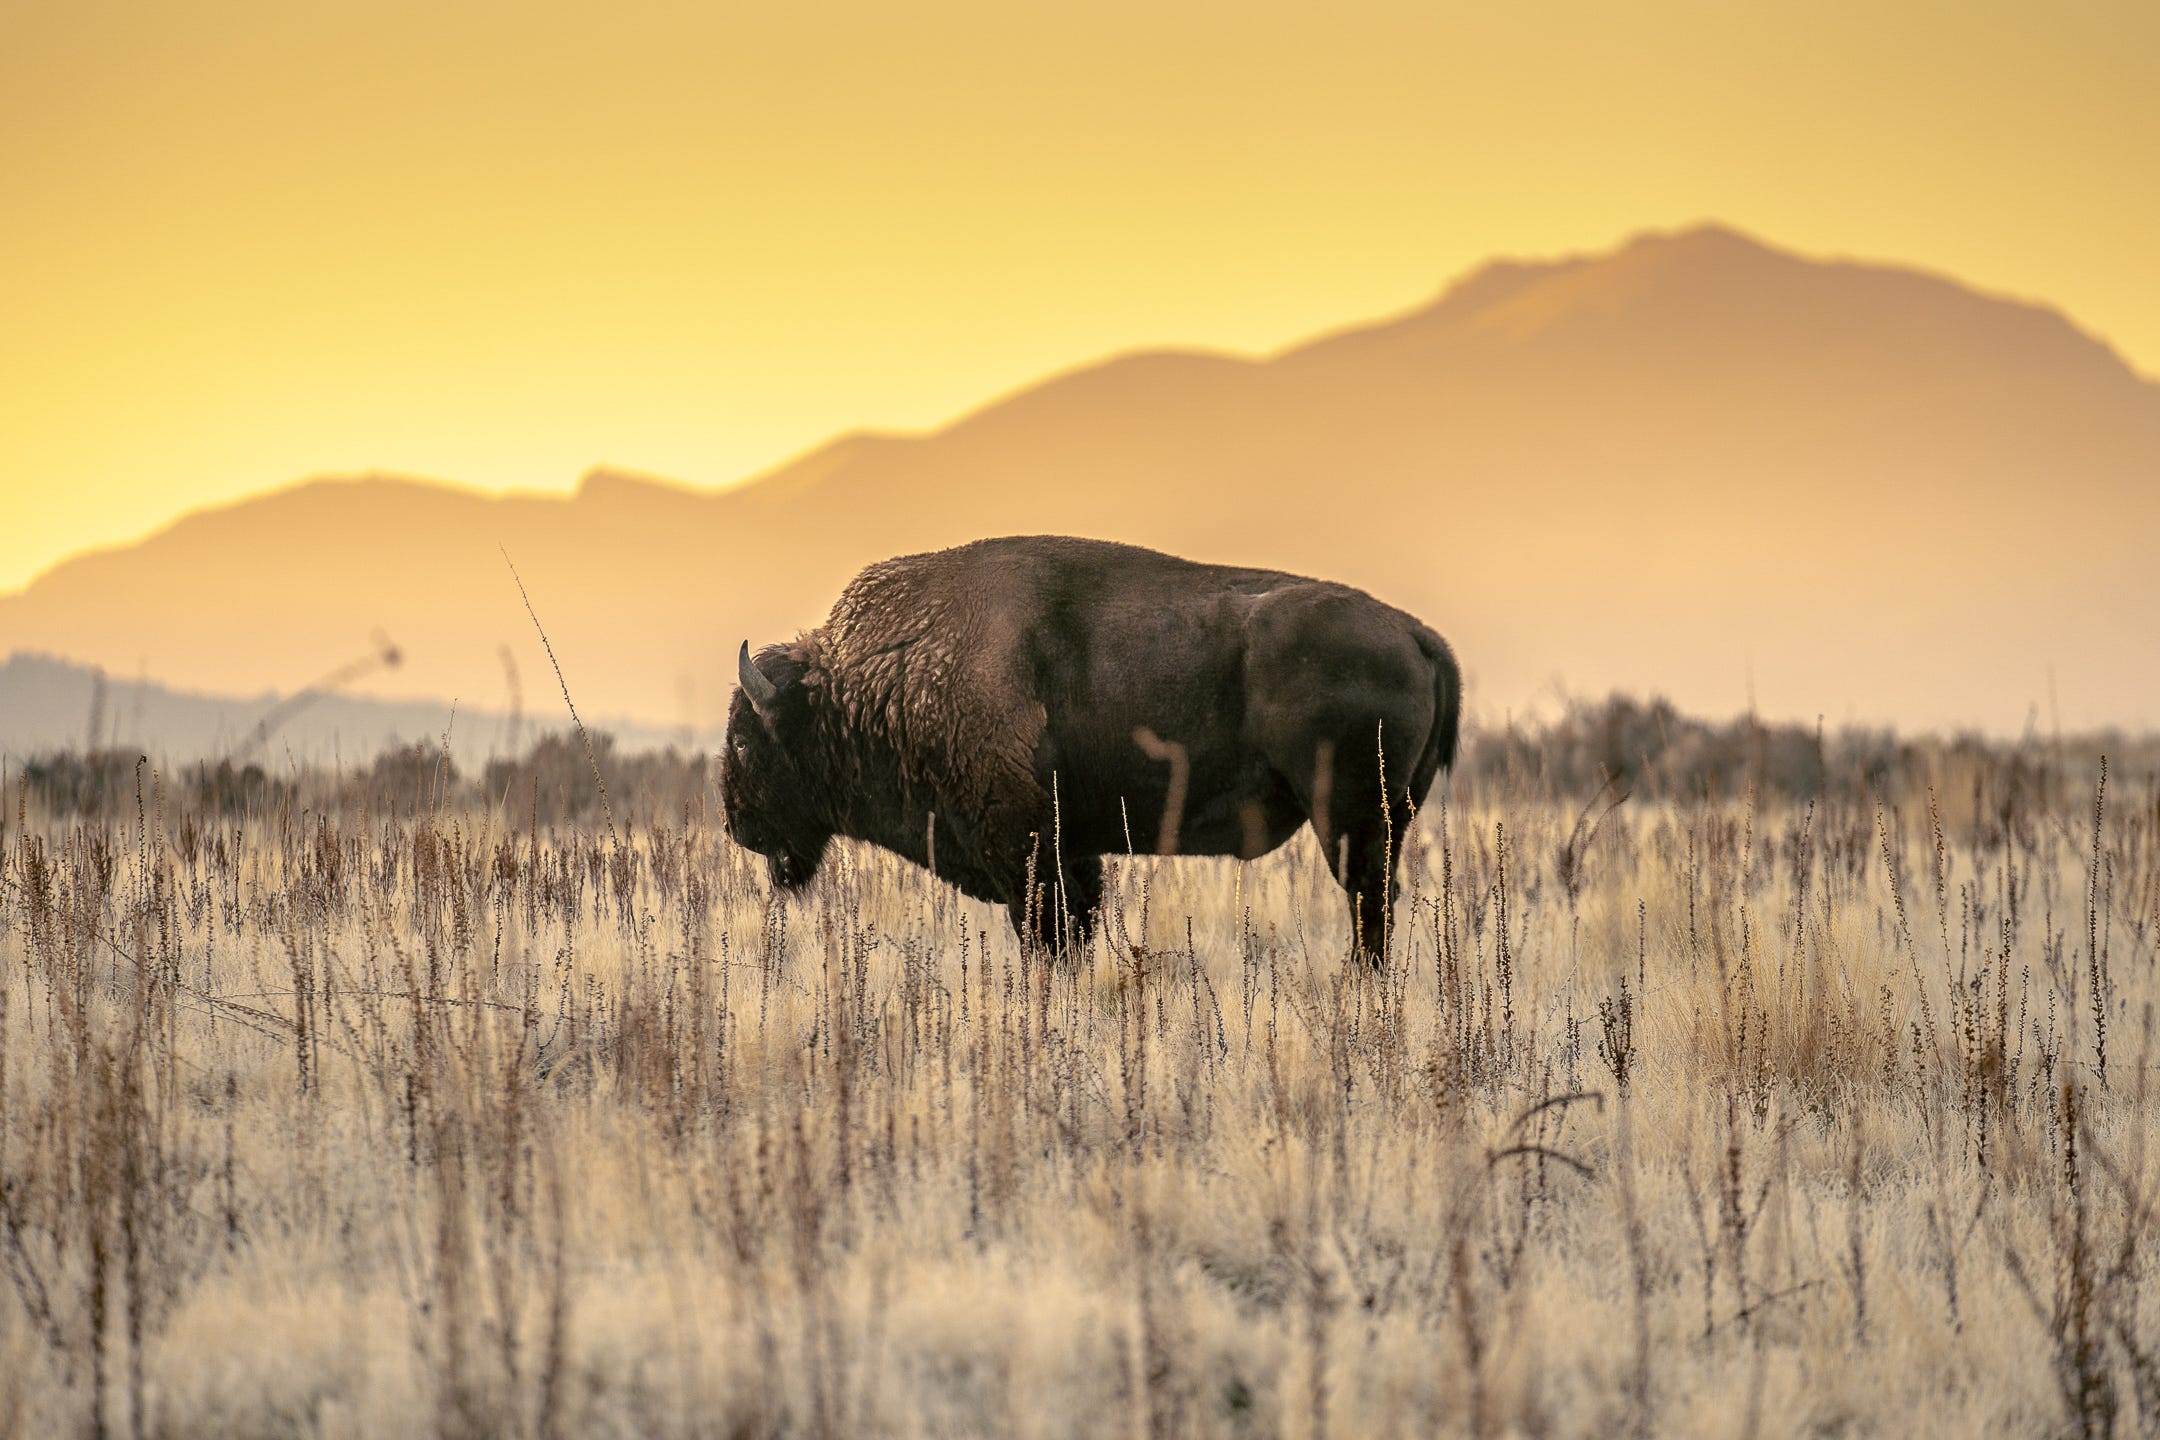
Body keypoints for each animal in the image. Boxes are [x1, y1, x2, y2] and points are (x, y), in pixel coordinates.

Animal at [717, 535, 1460, 962]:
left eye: (745, 742)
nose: (737, 824)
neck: (879, 680)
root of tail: (1415, 633)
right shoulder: (1072, 853)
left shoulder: (1026, 854)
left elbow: (1046, 939)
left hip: (1350, 821)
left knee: (1368, 902)